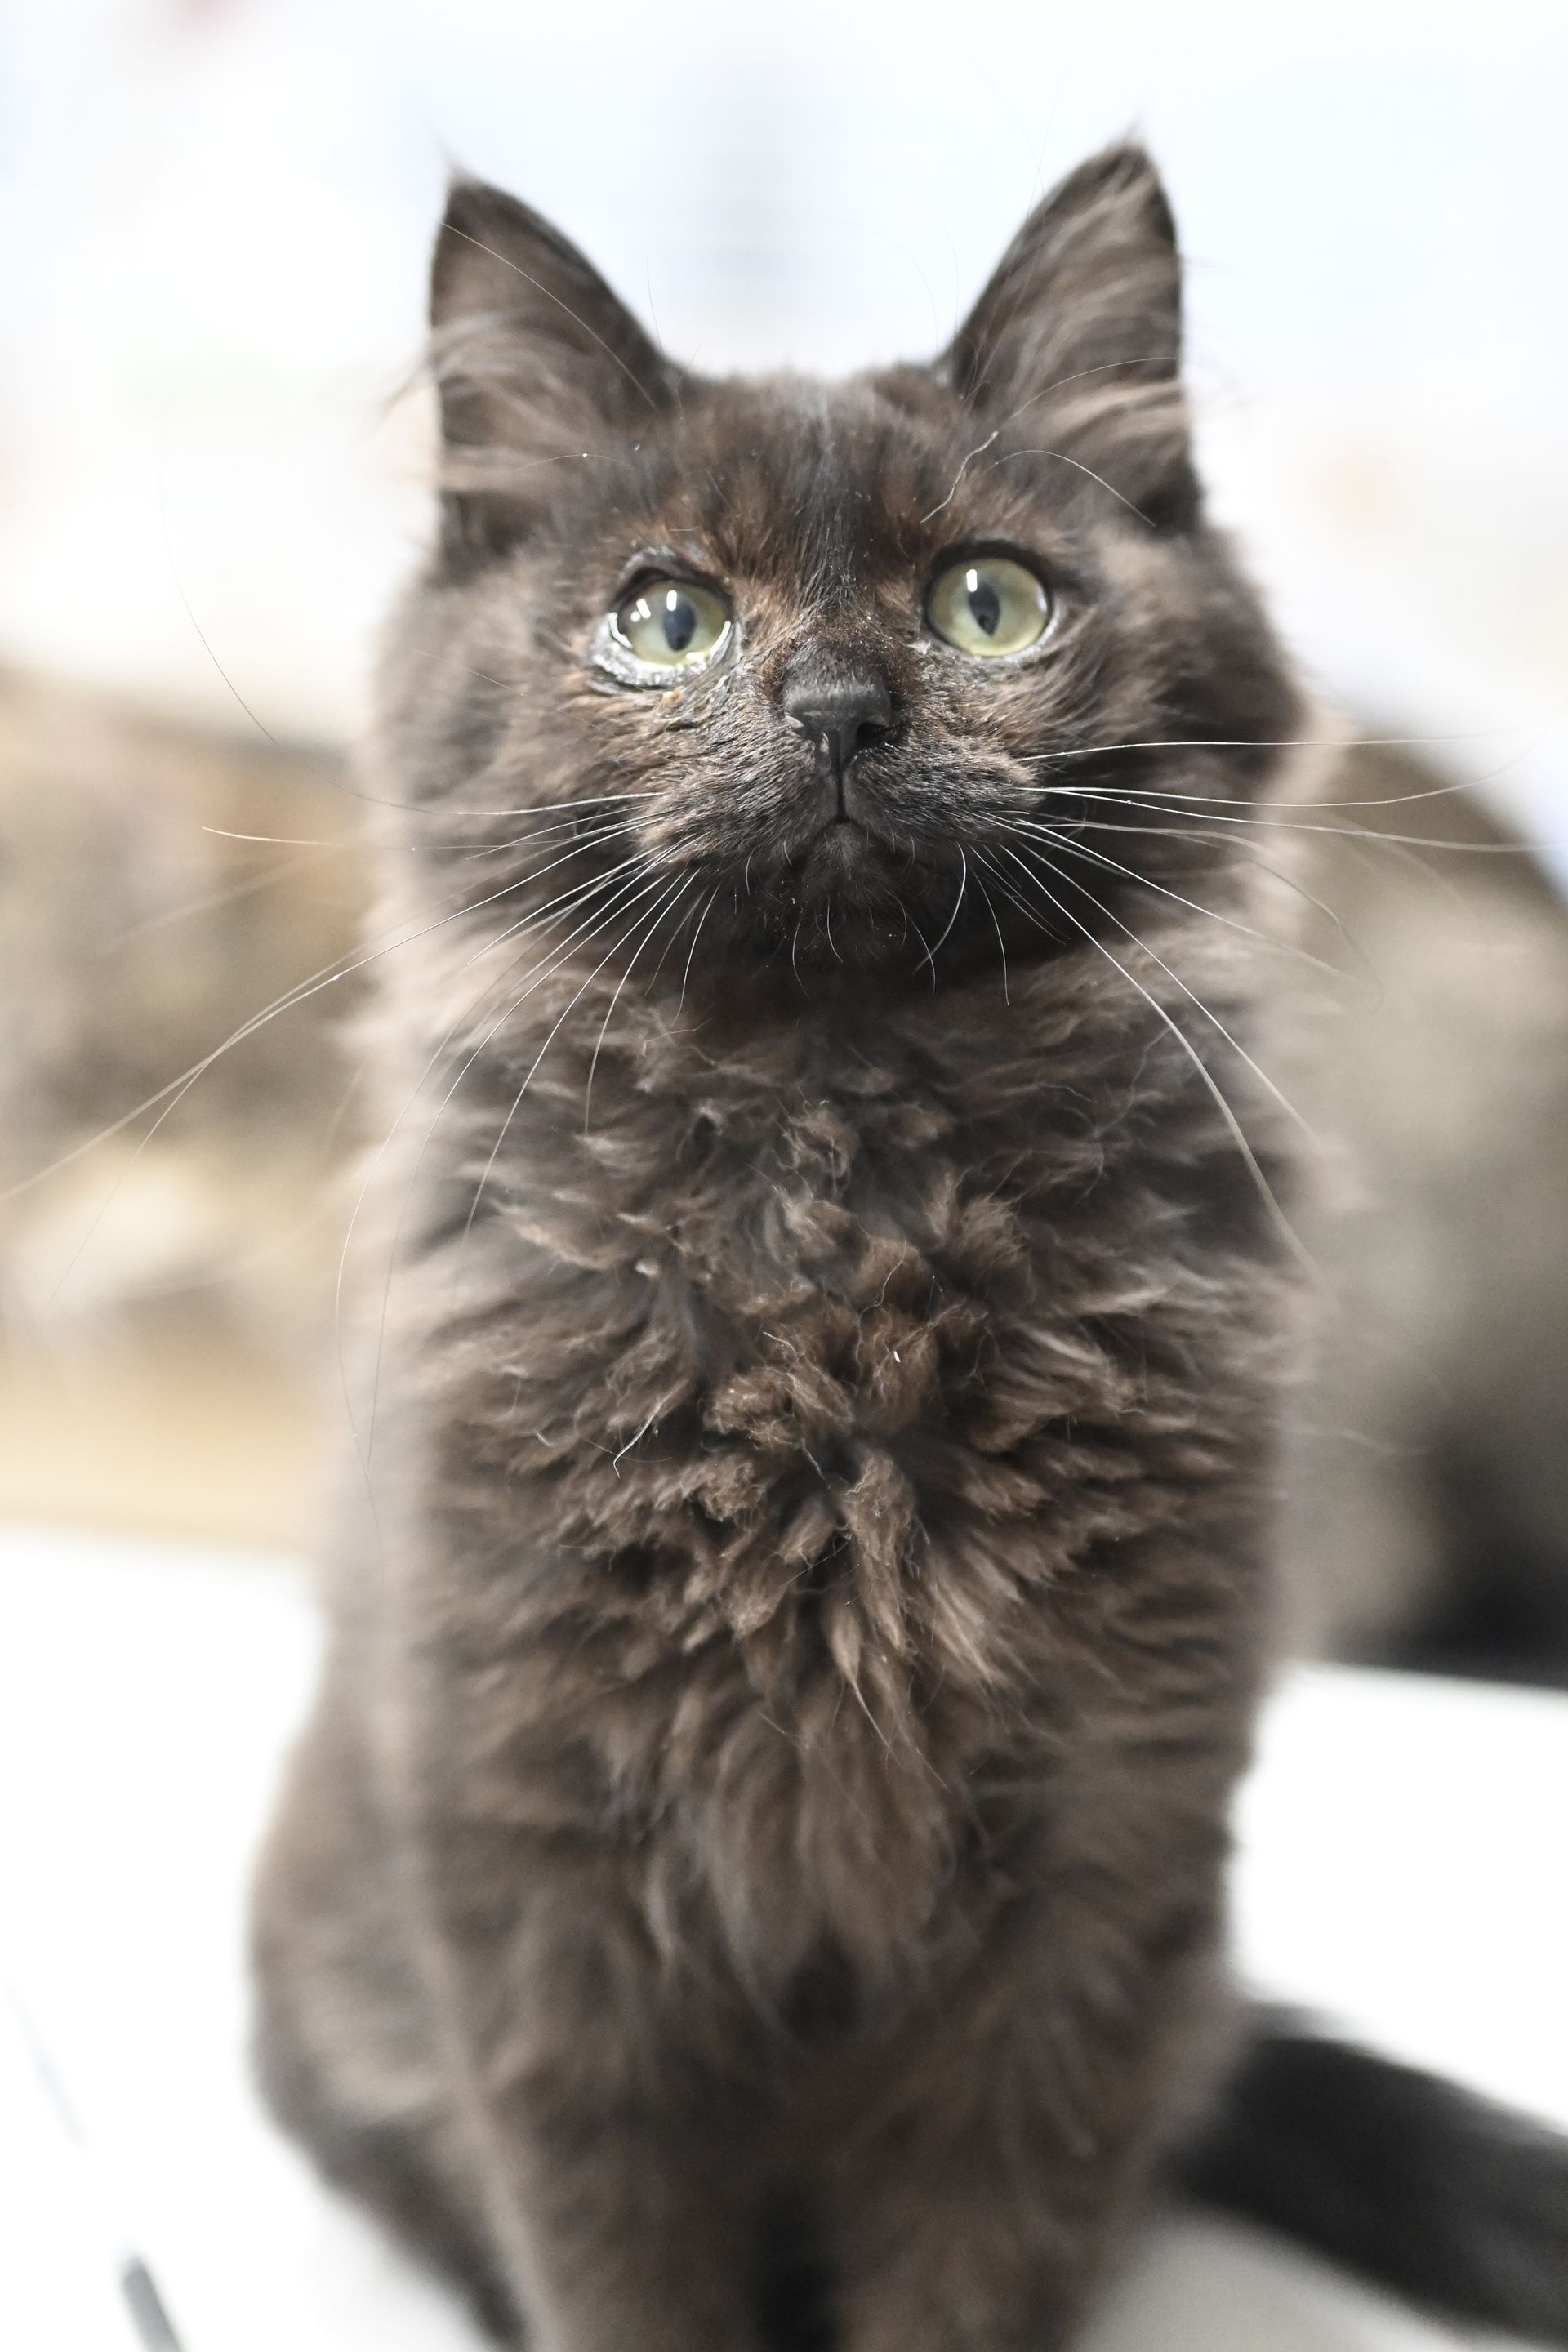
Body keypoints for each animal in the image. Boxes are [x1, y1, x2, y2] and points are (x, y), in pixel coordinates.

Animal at [257, 151, 1568, 2352]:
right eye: (665, 620)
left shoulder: (1099, 1866)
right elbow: (617, 2270)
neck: (847, 1194)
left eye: (989, 600)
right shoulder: (540, 1869)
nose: (839, 709)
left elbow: (977, 2257)